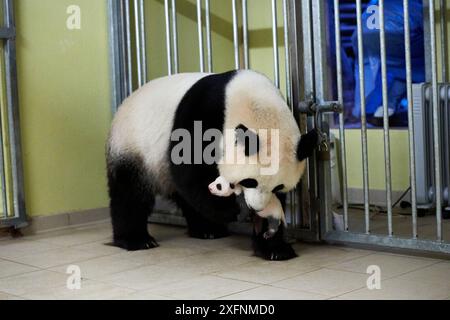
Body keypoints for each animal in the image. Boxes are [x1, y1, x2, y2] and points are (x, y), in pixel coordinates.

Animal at [106, 69, 316, 260]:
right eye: (249, 181)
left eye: (278, 186)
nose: (256, 208)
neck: (255, 103)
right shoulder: (203, 113)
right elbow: (188, 169)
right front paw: (233, 211)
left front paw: (274, 247)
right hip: (132, 145)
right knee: (130, 193)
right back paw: (137, 240)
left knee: (184, 198)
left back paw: (206, 229)